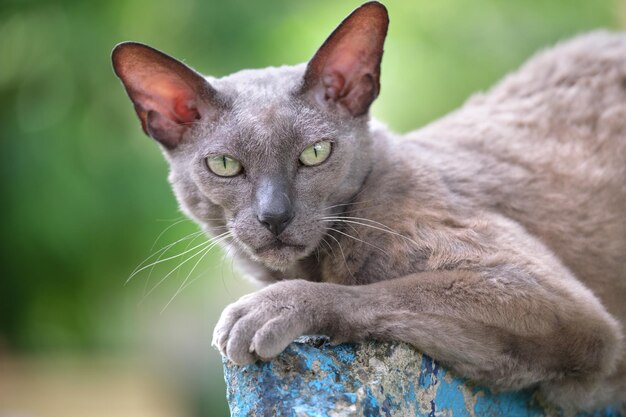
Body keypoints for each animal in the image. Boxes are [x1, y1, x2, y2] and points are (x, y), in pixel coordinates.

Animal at [112, 0, 624, 410]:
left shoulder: (560, 304)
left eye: (315, 153)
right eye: (224, 165)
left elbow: (381, 292)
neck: (312, 265)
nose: (274, 216)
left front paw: (264, 312)